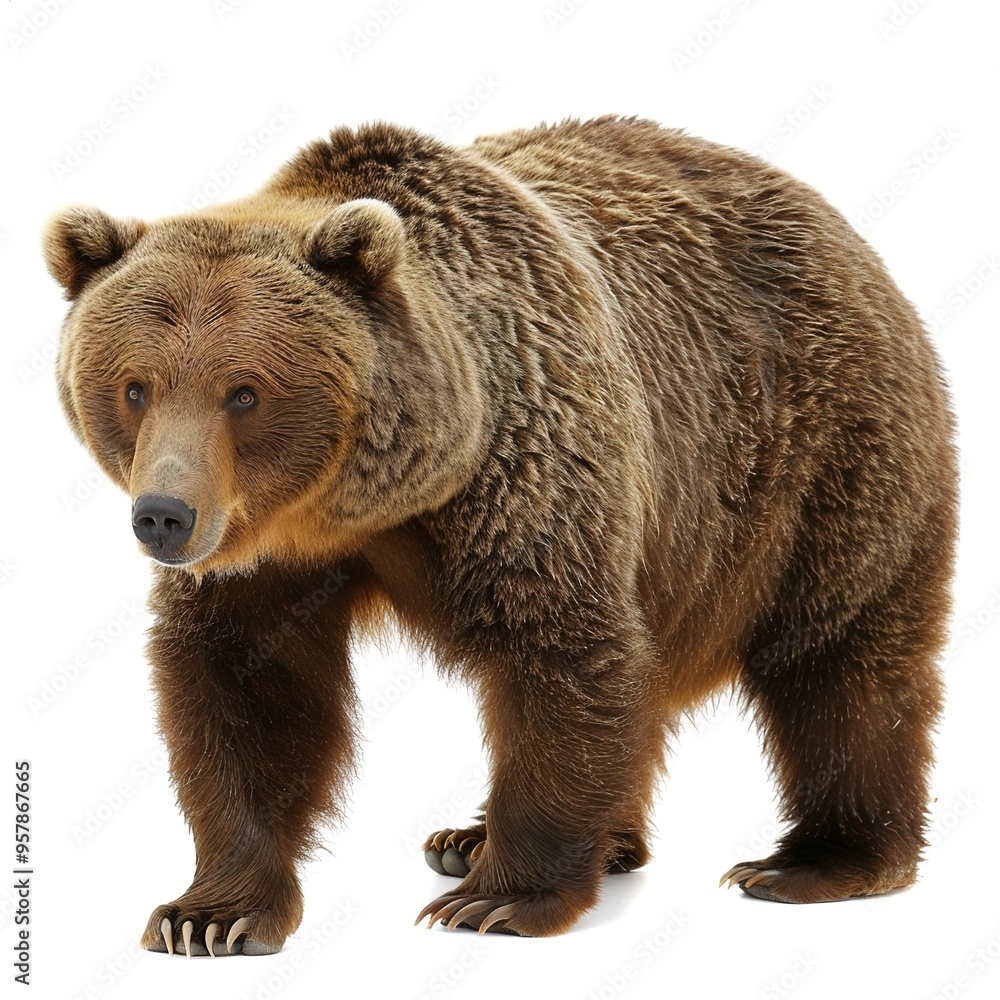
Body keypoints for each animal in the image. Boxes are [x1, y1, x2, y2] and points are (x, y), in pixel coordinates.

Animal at [43, 116, 957, 956]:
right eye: (133, 386)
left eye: (244, 391)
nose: (165, 514)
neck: (369, 499)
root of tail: (842, 227)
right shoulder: (264, 556)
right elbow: (245, 686)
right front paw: (209, 914)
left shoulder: (529, 474)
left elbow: (563, 655)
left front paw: (498, 900)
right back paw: (497, 838)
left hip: (819, 456)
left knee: (840, 657)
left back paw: (815, 861)